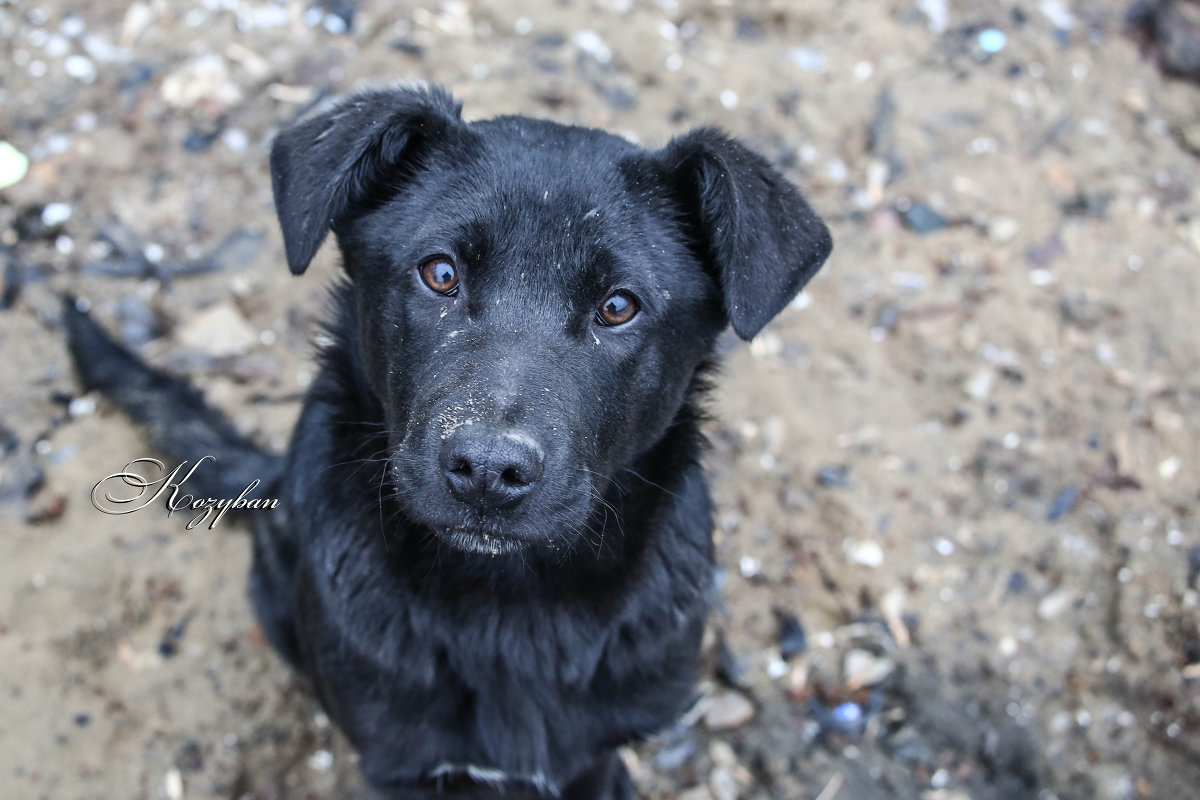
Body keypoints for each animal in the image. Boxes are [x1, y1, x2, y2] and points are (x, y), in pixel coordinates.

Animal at [65, 86, 830, 800]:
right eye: (440, 273)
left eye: (618, 307)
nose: (488, 471)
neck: (508, 607)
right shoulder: (403, 764)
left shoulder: (588, 754)